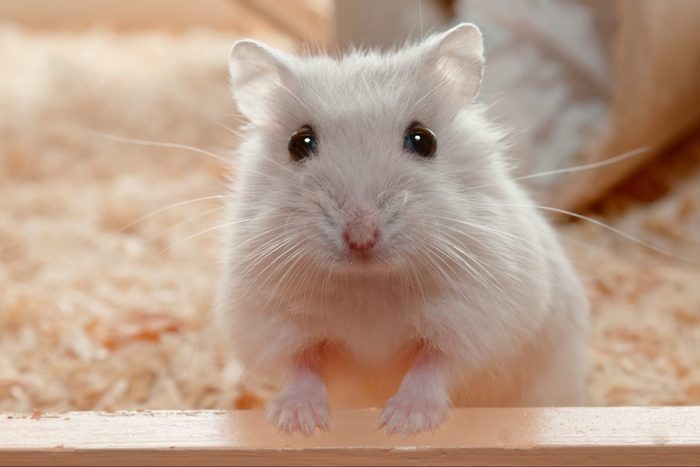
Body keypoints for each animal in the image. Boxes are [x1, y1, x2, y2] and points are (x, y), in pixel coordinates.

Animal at [216, 23, 589, 435]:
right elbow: (300, 365)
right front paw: (300, 423)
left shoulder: (478, 319)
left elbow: (434, 365)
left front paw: (401, 423)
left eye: (423, 139)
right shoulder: (270, 322)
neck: (369, 284)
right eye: (300, 142)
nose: (361, 237)